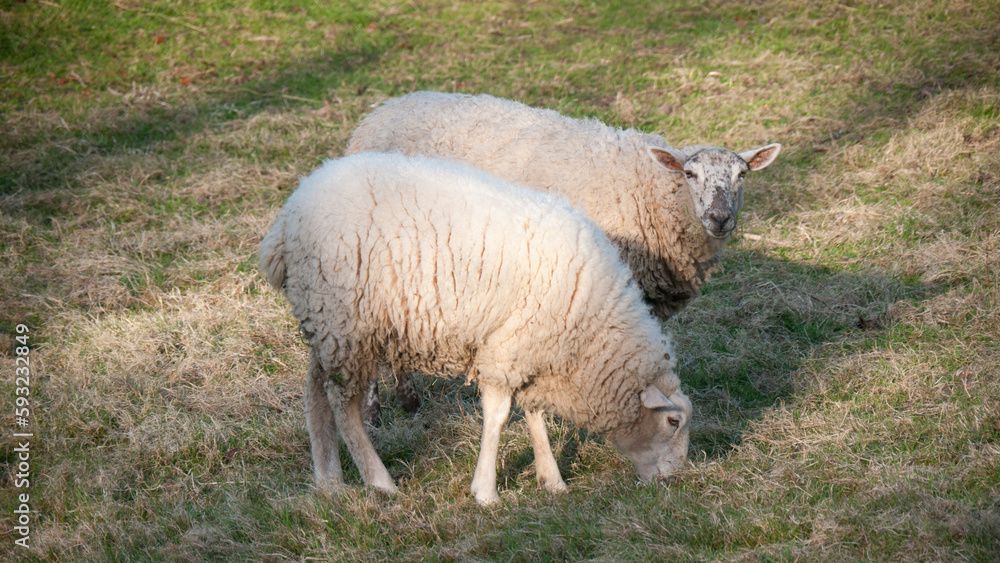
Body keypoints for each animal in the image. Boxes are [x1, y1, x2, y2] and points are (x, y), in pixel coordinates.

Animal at [259, 152, 692, 505]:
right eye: (673, 422)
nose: (675, 481)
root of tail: (286, 220)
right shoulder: (507, 350)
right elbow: (498, 417)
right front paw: (485, 492)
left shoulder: (532, 351)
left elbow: (534, 413)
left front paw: (551, 480)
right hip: (347, 322)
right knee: (342, 403)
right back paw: (379, 481)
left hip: (328, 322)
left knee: (315, 392)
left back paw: (329, 481)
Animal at [345, 91, 780, 418]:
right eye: (690, 175)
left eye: (742, 175)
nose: (719, 218)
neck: (652, 193)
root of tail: (380, 112)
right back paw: (373, 409)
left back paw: (408, 400)